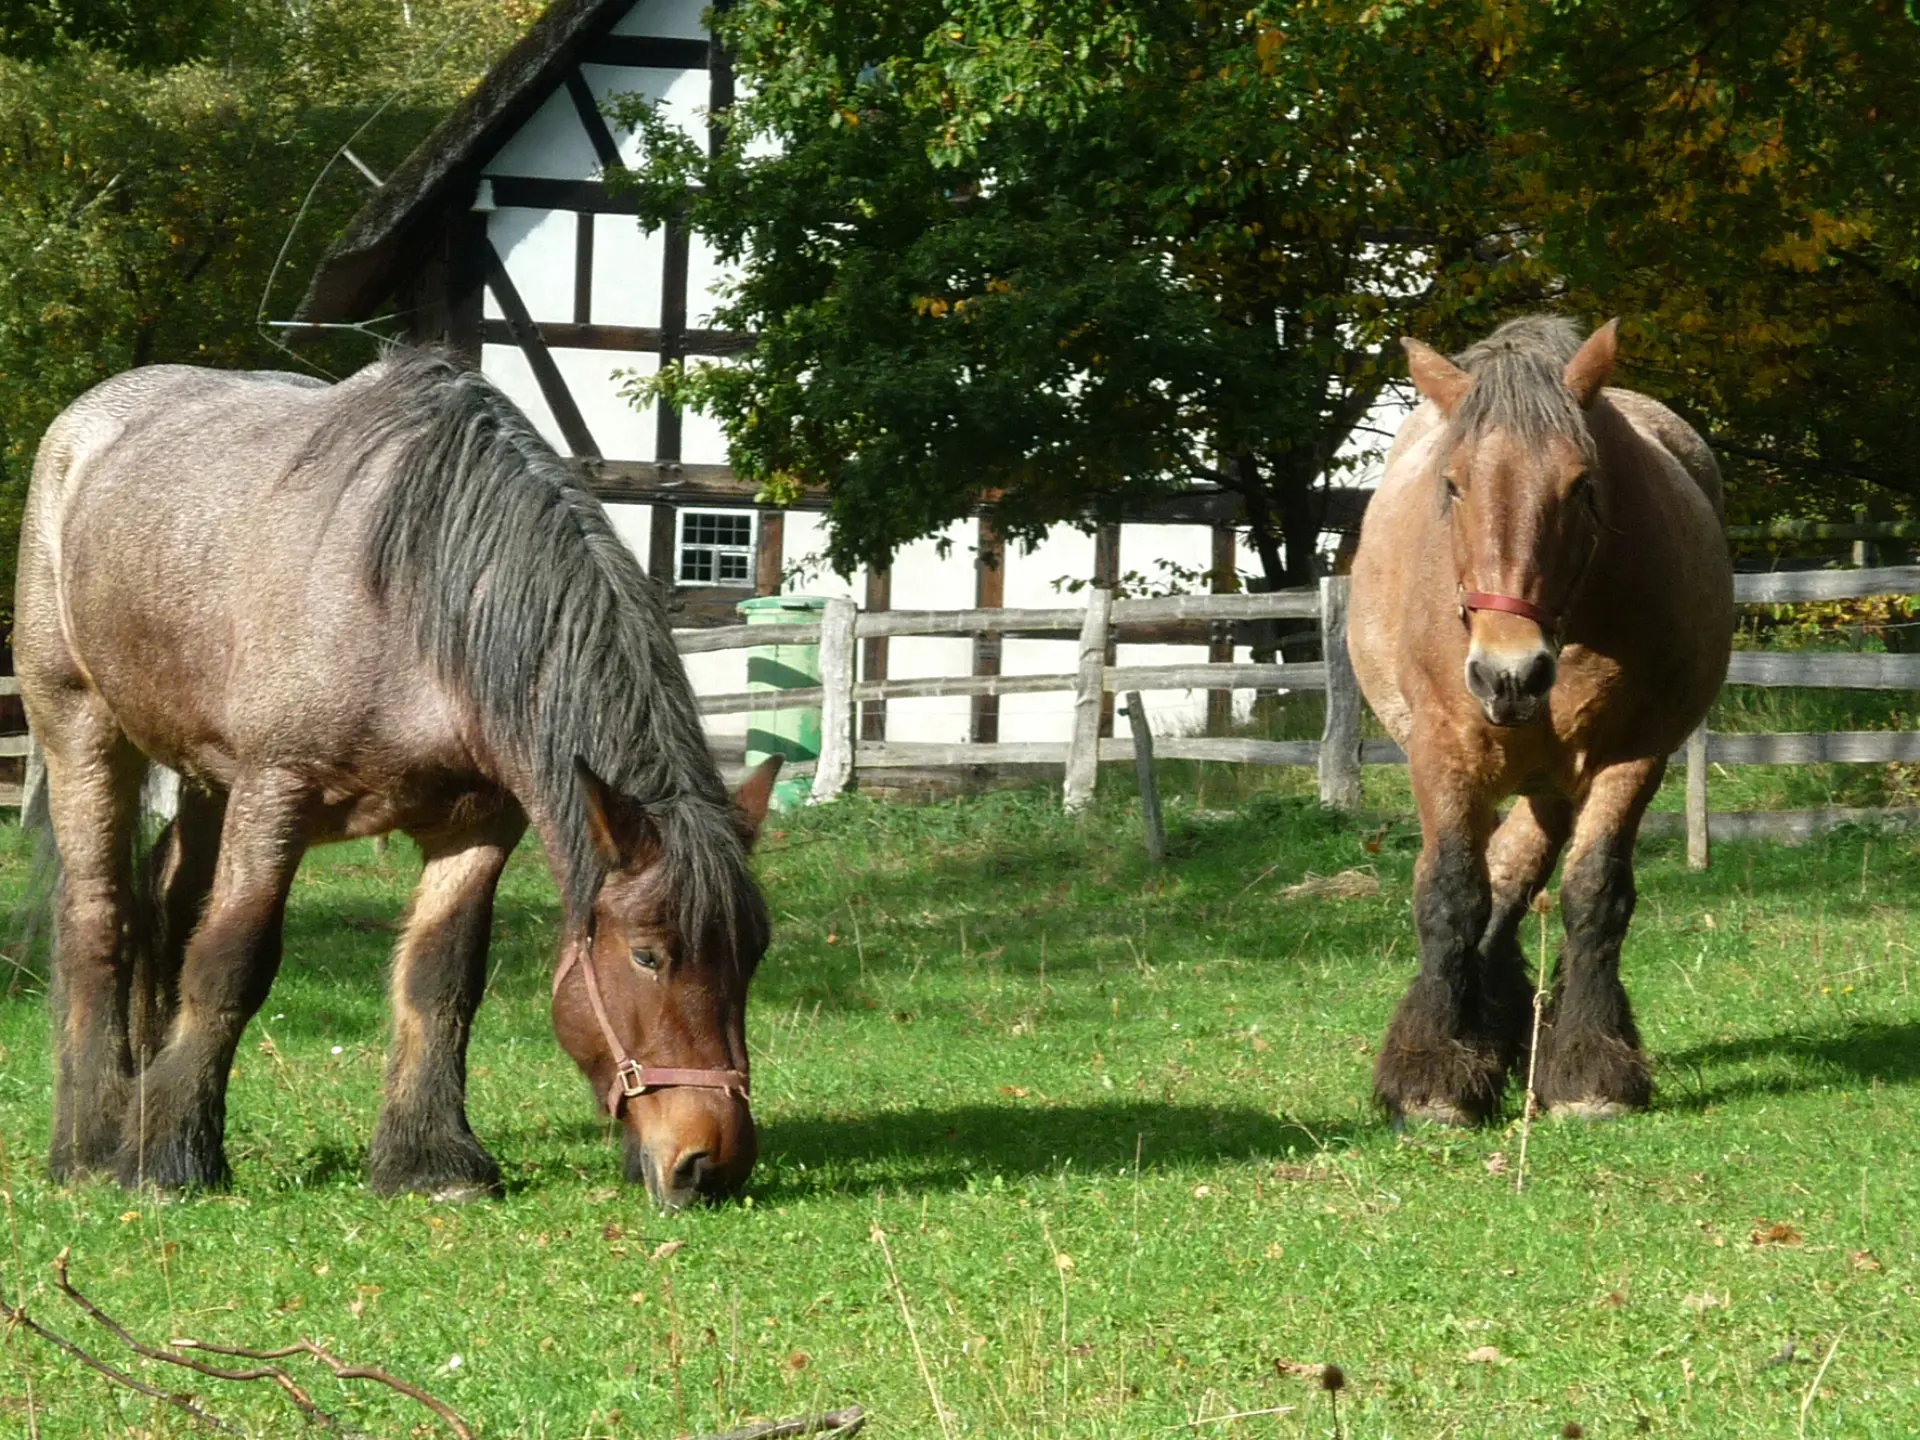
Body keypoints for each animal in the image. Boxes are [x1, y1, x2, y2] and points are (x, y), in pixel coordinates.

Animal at [16, 349, 780, 1208]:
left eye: (754, 954)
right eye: (649, 955)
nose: (711, 1161)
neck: (416, 602)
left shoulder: (477, 823)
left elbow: (441, 977)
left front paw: (428, 1159)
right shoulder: (275, 792)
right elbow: (231, 960)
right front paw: (168, 1158)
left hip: (205, 775)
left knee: (166, 905)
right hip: (83, 732)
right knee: (99, 919)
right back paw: (90, 1142)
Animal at [1348, 316, 1732, 1125]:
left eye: (1582, 485)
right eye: (1453, 484)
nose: (1509, 674)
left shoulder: (1630, 757)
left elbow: (1593, 893)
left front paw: (1589, 1070)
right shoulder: (1442, 752)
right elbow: (1450, 893)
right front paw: (1432, 1077)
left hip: (1552, 783)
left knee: (1516, 874)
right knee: (1487, 880)